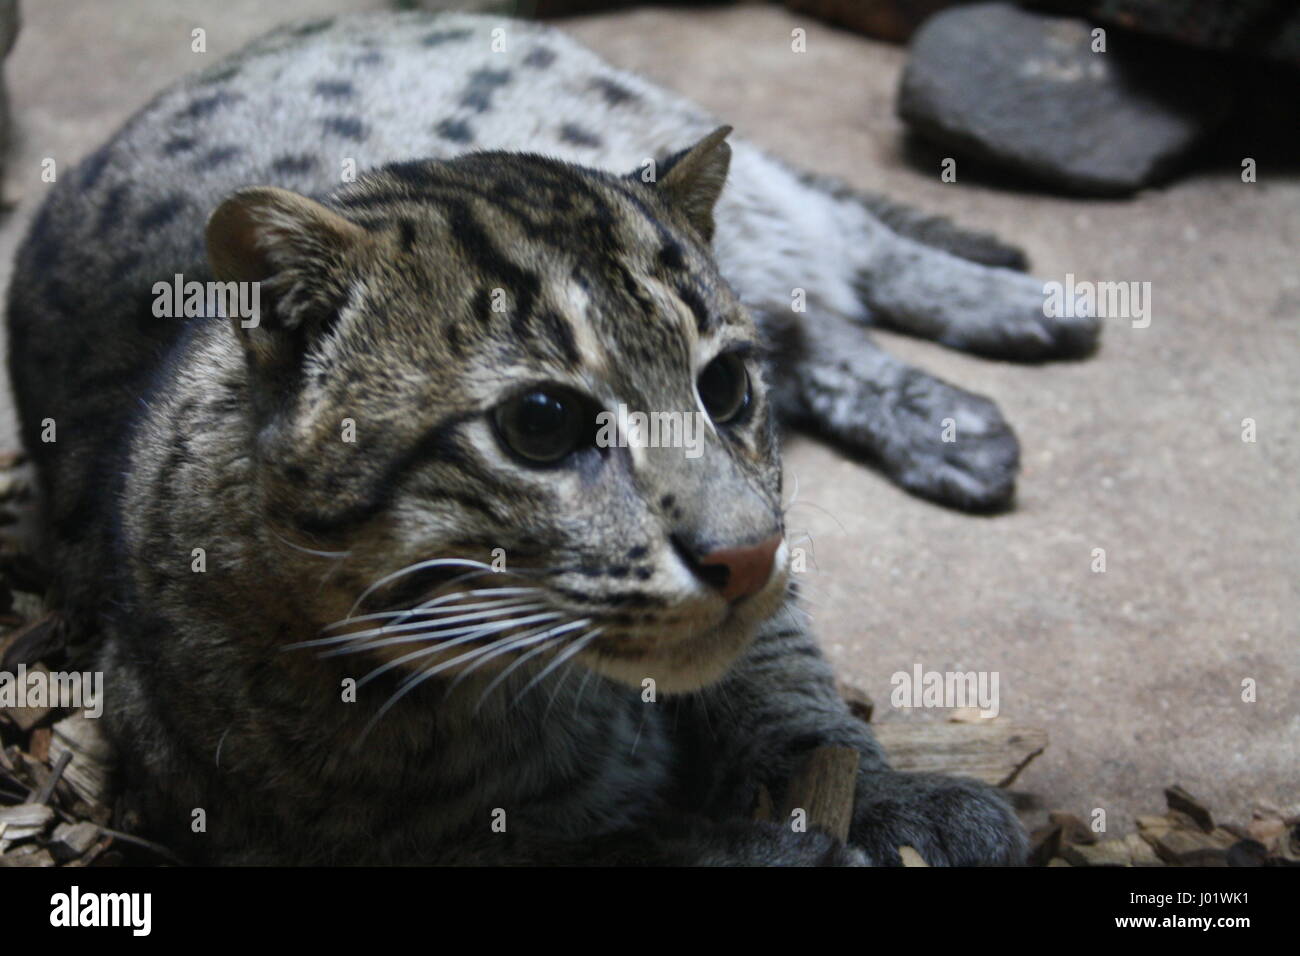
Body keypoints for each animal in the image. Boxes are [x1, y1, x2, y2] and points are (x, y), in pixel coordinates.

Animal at [5, 13, 1086, 868]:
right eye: (540, 424)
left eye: (725, 389)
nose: (747, 554)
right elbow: (593, 845)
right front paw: (761, 841)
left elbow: (784, 680)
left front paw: (880, 795)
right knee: (819, 311)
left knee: (835, 248)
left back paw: (1018, 315)